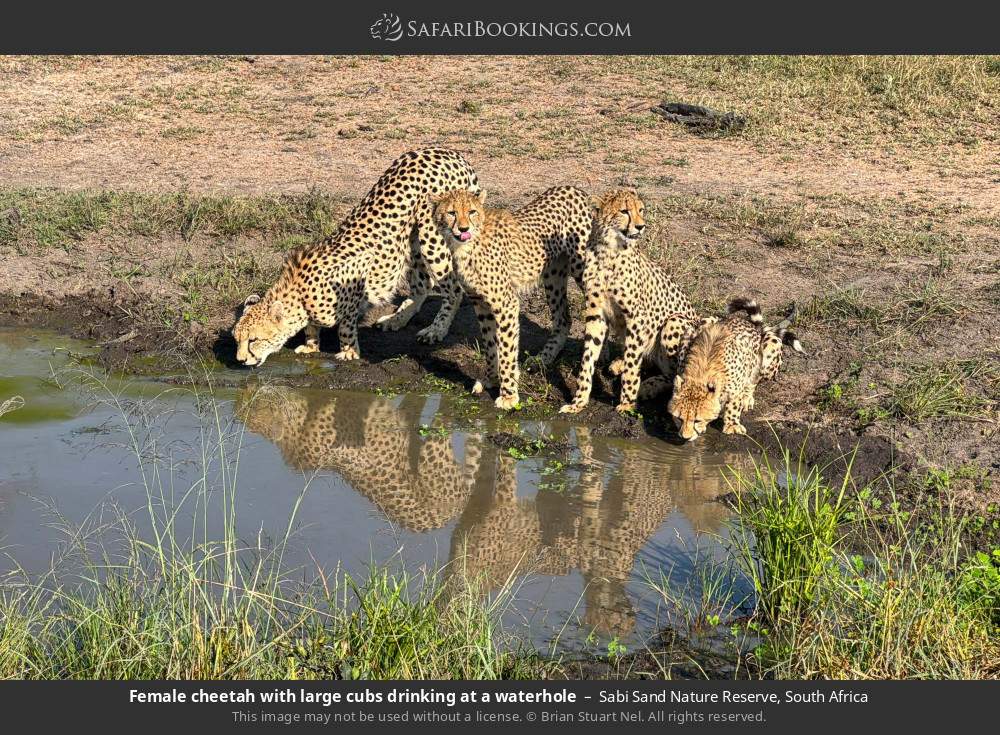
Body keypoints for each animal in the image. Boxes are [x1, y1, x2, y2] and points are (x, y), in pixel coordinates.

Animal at [233, 147, 480, 366]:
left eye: (254, 340)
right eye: (237, 339)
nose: (240, 360)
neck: (300, 294)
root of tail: (449, 152)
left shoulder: (355, 276)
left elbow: (345, 325)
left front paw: (349, 352)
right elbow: (312, 327)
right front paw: (311, 346)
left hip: (434, 236)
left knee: (453, 289)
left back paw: (436, 330)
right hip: (412, 241)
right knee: (423, 284)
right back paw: (396, 319)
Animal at [429, 186, 593, 409]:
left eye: (472, 212)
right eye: (451, 213)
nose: (463, 229)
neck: (465, 248)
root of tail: (574, 189)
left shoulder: (506, 304)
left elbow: (506, 349)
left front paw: (508, 395)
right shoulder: (480, 304)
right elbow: (490, 344)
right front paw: (490, 379)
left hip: (583, 270)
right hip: (553, 275)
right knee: (563, 319)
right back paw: (543, 358)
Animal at [559, 188, 698, 415]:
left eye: (641, 210)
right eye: (624, 211)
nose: (641, 226)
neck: (608, 251)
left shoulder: (637, 317)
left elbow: (633, 362)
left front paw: (627, 402)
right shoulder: (596, 315)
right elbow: (588, 358)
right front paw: (578, 402)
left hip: (674, 322)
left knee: (677, 376)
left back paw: (646, 386)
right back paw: (620, 366)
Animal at [668, 297, 804, 440]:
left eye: (696, 420)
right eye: (680, 418)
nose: (685, 437)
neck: (702, 372)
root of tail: (749, 323)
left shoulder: (736, 386)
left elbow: (733, 404)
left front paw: (732, 425)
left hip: (770, 351)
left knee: (755, 380)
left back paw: (747, 398)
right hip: (701, 323)